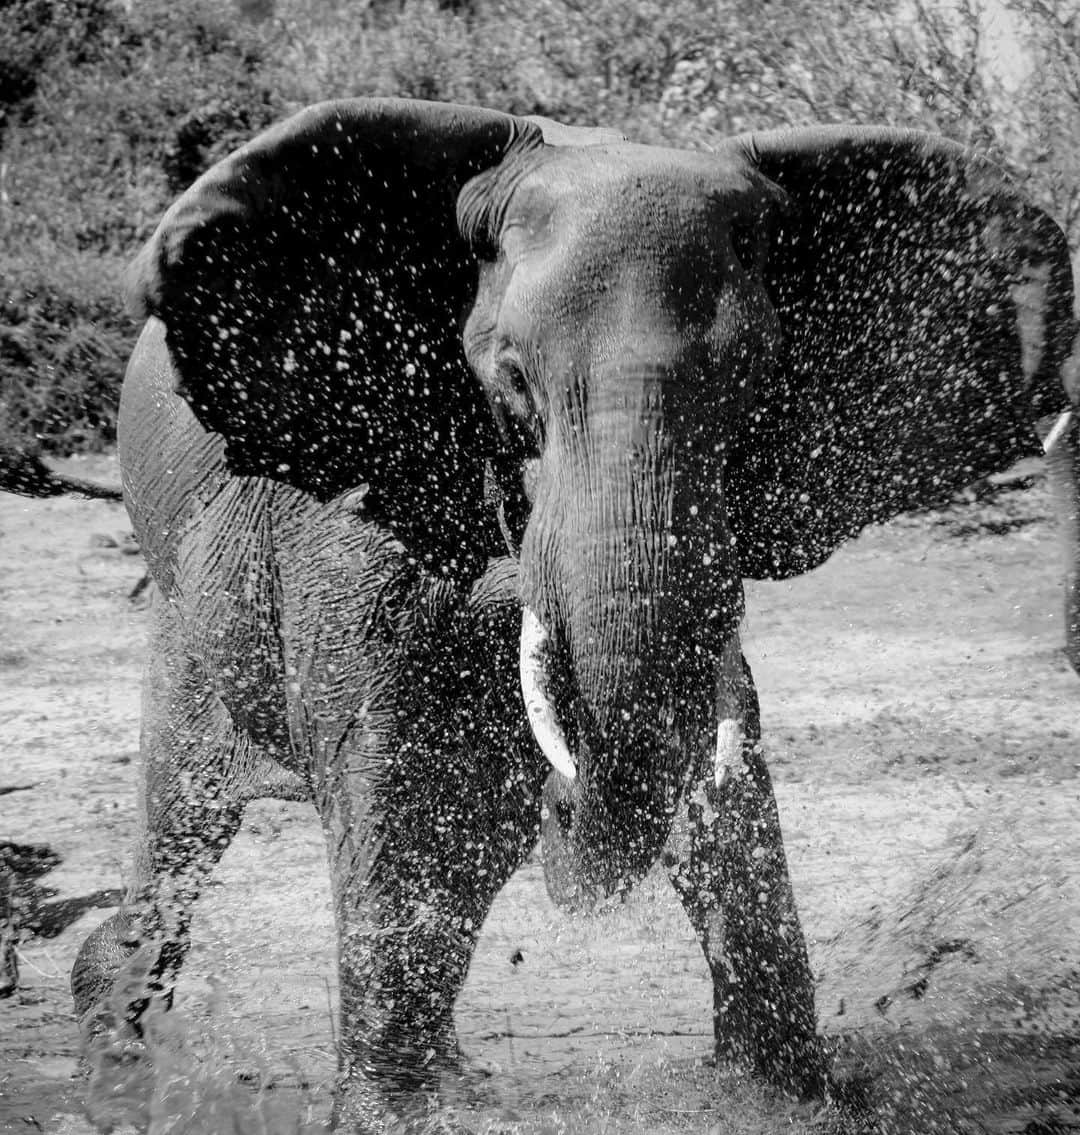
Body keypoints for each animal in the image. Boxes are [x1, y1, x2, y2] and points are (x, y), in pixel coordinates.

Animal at [69, 99, 1080, 1135]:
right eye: (511, 378)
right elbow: (386, 777)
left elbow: (719, 773)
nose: (563, 797)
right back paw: (120, 1063)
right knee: (188, 819)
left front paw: (783, 1102)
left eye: (754, 383)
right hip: (189, 619)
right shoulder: (348, 524)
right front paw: (395, 1120)